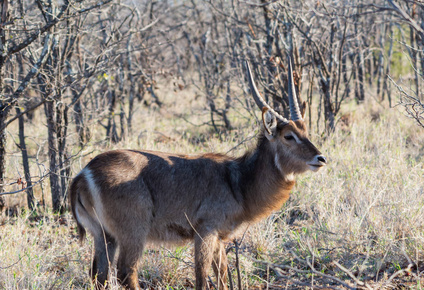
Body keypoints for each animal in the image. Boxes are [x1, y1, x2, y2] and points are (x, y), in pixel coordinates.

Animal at [70, 57, 328, 288]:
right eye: (288, 136)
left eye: (306, 131)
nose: (321, 158)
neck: (239, 182)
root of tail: (83, 174)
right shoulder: (205, 231)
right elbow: (202, 277)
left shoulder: (219, 237)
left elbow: (222, 276)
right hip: (133, 232)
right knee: (126, 272)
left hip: (103, 235)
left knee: (99, 275)